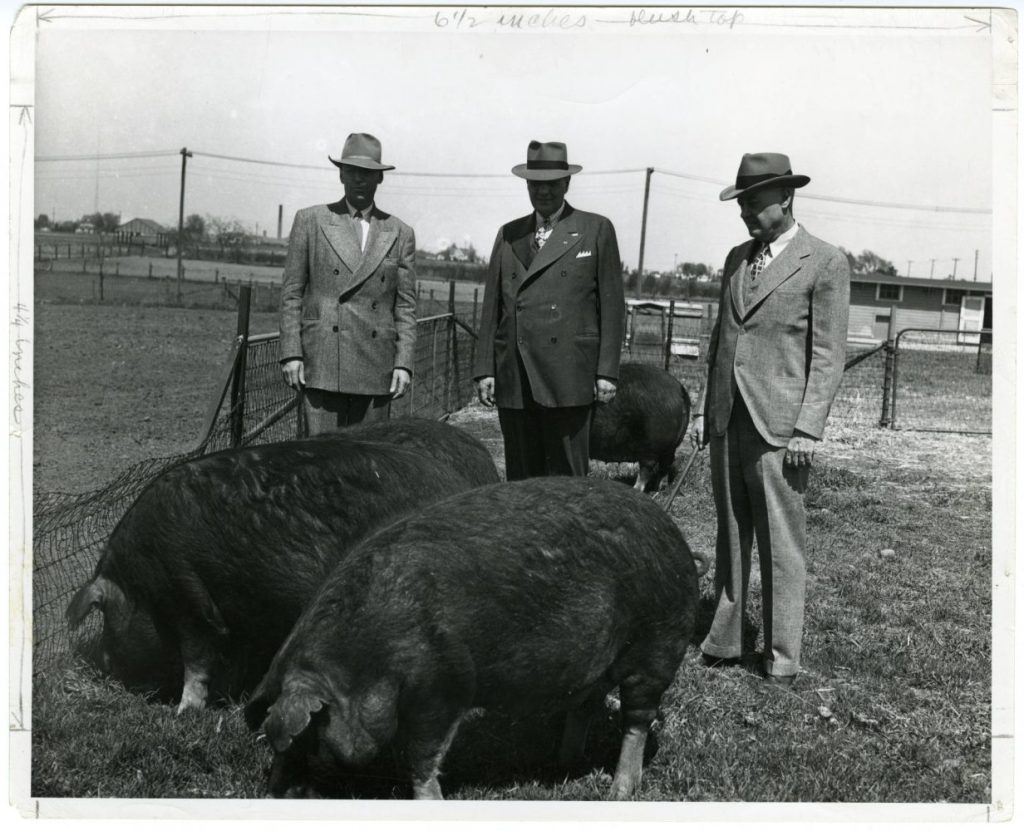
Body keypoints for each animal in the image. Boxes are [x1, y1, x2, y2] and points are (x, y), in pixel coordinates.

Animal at [65, 425, 499, 712]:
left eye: (105, 619)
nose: (105, 665)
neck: (141, 579)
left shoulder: (188, 596)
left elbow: (197, 660)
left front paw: (184, 712)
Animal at [244, 476, 708, 802]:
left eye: (308, 739)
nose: (272, 795)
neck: (366, 660)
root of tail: (674, 534)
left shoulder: (444, 685)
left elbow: (423, 757)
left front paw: (431, 803)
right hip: (600, 662)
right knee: (586, 704)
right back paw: (561, 763)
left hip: (658, 645)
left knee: (637, 719)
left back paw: (619, 791)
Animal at [589, 364, 692, 493]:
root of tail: (680, 390)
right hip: (669, 447)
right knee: (666, 464)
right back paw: (658, 489)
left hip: (652, 445)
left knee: (646, 471)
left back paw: (636, 490)